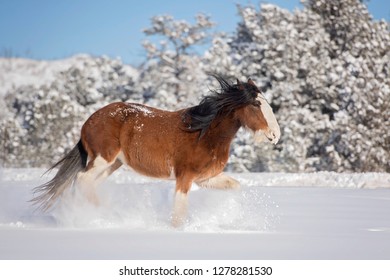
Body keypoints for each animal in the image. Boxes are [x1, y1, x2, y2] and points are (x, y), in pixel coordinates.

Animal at [31, 75, 280, 226]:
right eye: (256, 104)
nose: (275, 135)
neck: (204, 132)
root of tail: (88, 121)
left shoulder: (205, 178)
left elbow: (235, 187)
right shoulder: (184, 177)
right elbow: (179, 212)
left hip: (112, 164)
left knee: (86, 184)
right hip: (103, 159)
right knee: (82, 179)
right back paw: (106, 215)